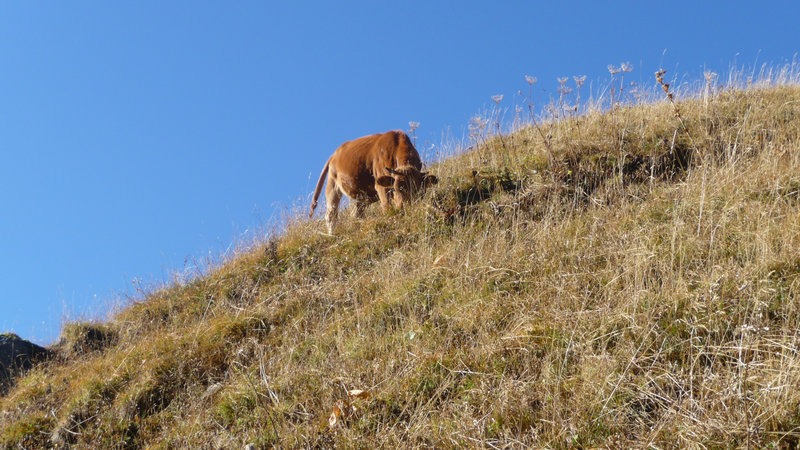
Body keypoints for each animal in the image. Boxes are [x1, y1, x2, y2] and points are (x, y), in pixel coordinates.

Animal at [310, 130, 440, 234]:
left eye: (421, 193)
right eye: (396, 189)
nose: (406, 208)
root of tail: (334, 155)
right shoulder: (380, 186)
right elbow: (386, 207)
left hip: (362, 196)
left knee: (356, 213)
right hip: (332, 185)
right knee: (331, 215)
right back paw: (332, 234)